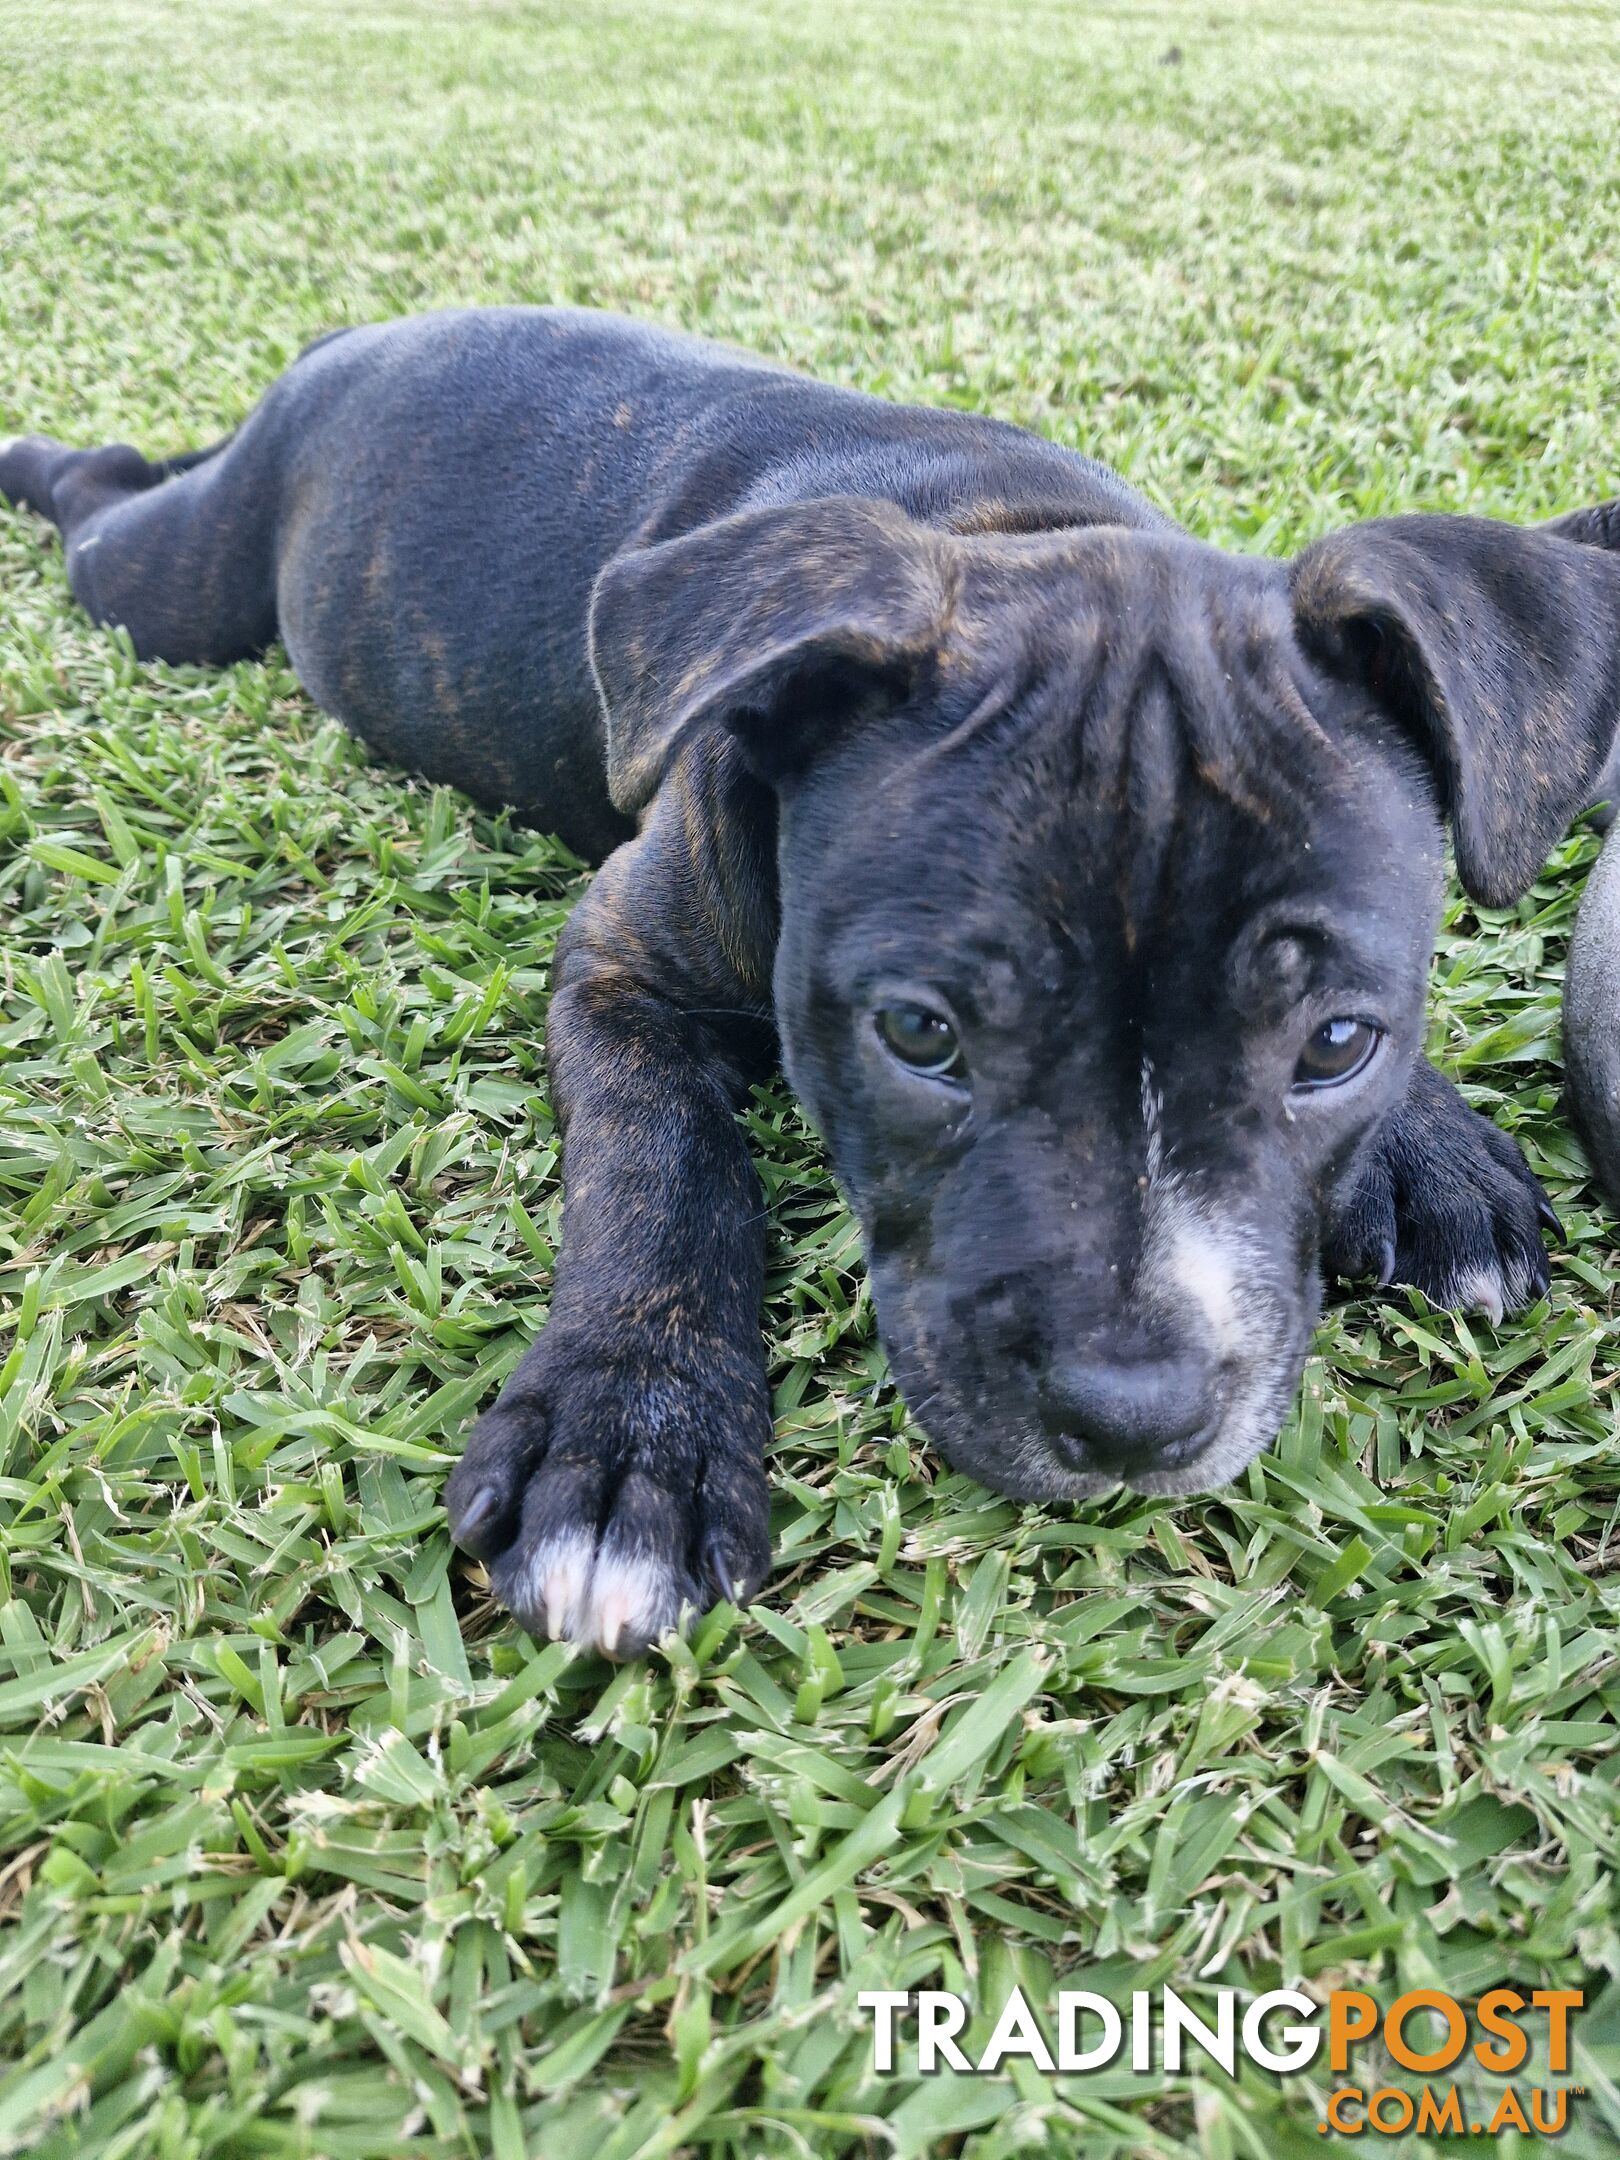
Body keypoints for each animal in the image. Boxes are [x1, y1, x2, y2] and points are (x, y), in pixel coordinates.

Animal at [6, 304, 1615, 1650]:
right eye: (920, 1034)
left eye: (1337, 1043)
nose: (1131, 1415)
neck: (1015, 529)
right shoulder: (620, 969)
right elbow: (661, 1165)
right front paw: (631, 1437)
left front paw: (1430, 1150)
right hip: (179, 582)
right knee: (111, 505)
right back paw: (44, 460)